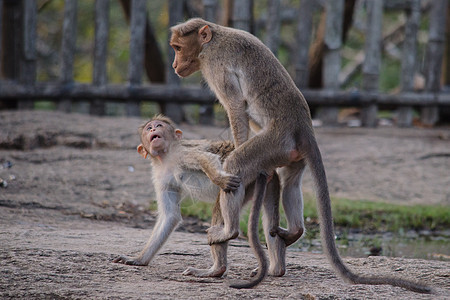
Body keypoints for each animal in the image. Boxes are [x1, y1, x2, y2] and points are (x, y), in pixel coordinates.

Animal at [112, 114, 282, 288]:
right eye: (148, 128)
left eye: (159, 125)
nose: (153, 129)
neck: (164, 158)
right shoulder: (161, 176)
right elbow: (170, 216)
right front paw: (139, 259)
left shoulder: (179, 153)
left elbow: (204, 157)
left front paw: (220, 179)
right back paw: (276, 268)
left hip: (246, 179)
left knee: (221, 209)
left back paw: (217, 268)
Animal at [169, 18, 432, 292]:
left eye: (178, 47)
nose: (175, 64)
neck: (213, 38)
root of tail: (303, 126)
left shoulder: (215, 64)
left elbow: (236, 106)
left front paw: (235, 147)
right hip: (289, 152)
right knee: (290, 183)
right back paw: (290, 238)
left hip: (275, 142)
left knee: (239, 164)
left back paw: (229, 232)